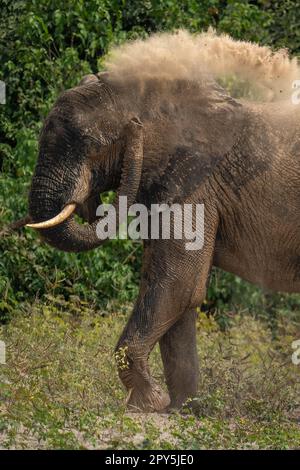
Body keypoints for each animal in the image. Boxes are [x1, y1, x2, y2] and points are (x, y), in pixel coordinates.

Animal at [12, 35, 300, 414]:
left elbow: (176, 282)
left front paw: (148, 403)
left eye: (92, 145)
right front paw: (179, 408)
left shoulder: (193, 183)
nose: (134, 128)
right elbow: (178, 289)